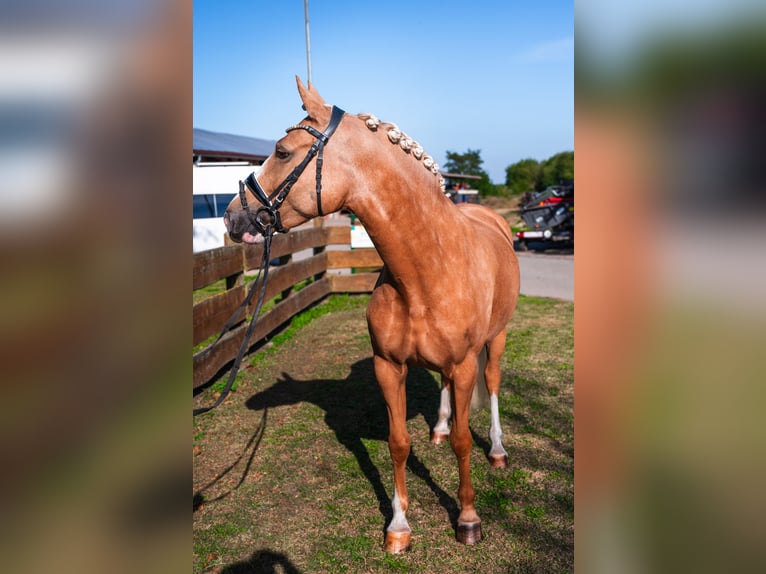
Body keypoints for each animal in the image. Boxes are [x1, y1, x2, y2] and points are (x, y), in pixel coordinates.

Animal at [224, 76, 520, 552]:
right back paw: (437, 427)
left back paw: (496, 450)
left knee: (491, 385)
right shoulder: (388, 367)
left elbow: (462, 443)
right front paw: (398, 526)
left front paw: (468, 519)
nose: (233, 217)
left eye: (283, 152)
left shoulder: (463, 364)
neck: (425, 272)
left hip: (497, 338)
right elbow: (398, 442)